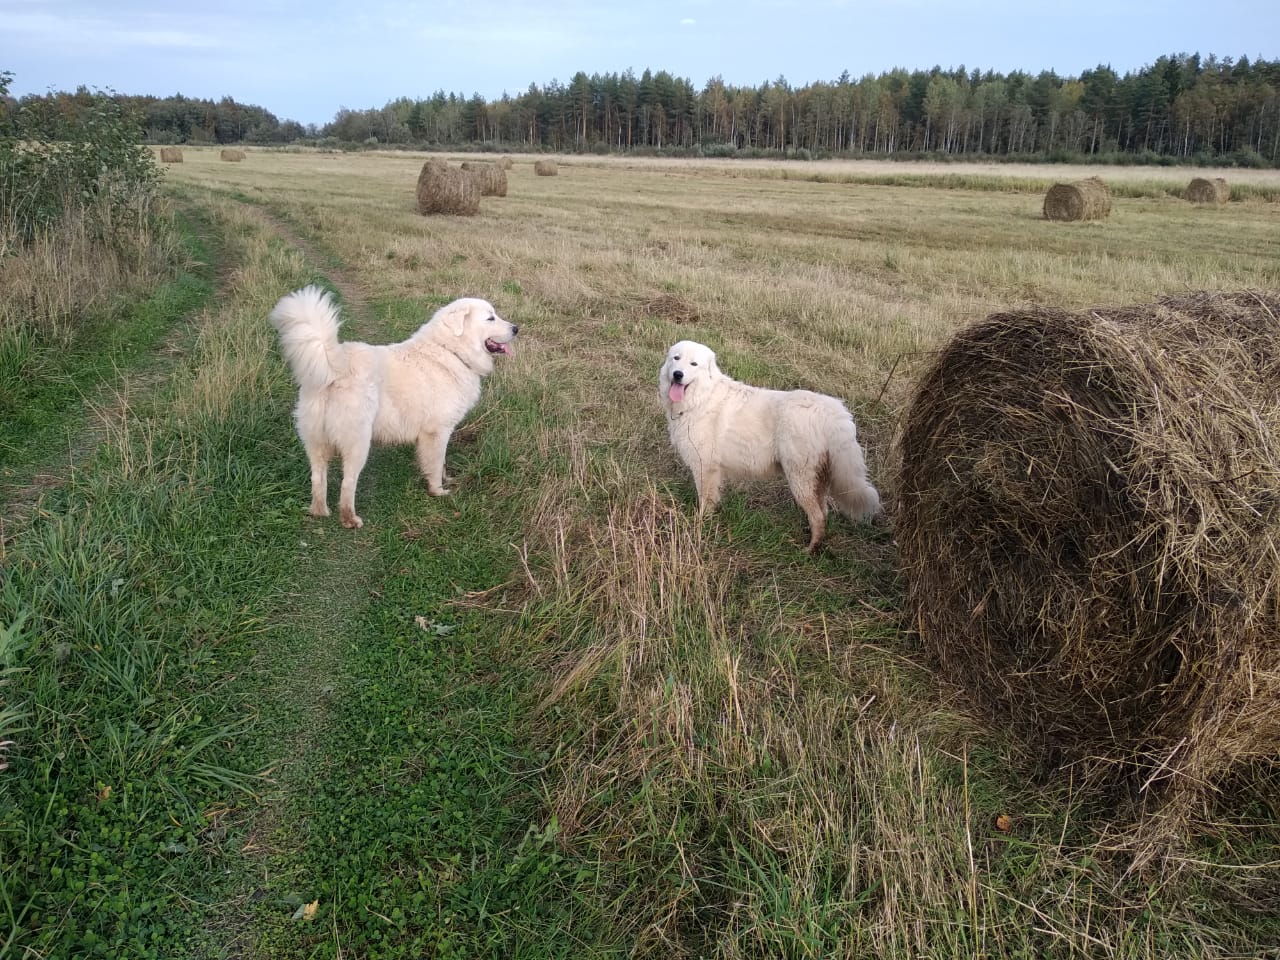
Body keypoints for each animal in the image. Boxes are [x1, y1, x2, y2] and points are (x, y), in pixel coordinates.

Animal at [268, 285, 514, 529]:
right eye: (490, 318)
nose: (516, 329)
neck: (450, 350)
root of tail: (335, 366)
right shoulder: (438, 431)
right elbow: (436, 463)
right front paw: (438, 491)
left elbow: (440, 463)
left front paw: (445, 480)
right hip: (357, 443)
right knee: (348, 483)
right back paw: (350, 519)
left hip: (316, 441)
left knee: (317, 478)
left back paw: (319, 511)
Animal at [660, 340, 880, 552]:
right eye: (676, 358)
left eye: (693, 364)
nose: (677, 374)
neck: (701, 398)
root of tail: (833, 411)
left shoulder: (705, 468)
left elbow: (705, 502)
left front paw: (699, 525)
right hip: (815, 479)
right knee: (822, 511)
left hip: (800, 478)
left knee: (817, 516)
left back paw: (808, 550)